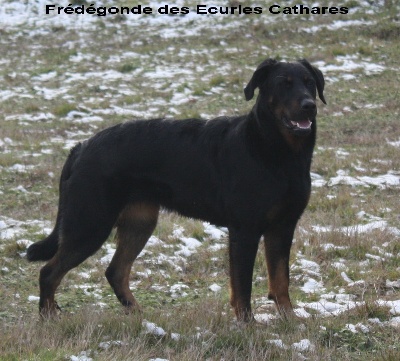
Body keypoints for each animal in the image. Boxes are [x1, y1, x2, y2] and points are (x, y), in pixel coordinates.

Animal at [27, 58, 324, 320]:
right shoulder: (245, 230)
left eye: (309, 82)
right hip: (90, 223)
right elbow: (242, 287)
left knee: (116, 272)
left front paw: (289, 321)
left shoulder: (283, 226)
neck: (276, 152)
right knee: (49, 272)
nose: (309, 105)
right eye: (283, 83)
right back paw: (48, 318)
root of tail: (80, 147)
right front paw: (247, 325)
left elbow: (281, 280)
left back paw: (138, 315)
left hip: (139, 221)